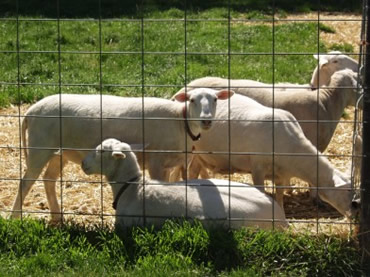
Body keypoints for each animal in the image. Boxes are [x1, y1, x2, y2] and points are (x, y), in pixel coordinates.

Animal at [11, 89, 233, 222]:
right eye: (193, 100)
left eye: (215, 100)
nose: (206, 120)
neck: (180, 122)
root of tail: (30, 111)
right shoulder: (156, 161)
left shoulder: (174, 163)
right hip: (40, 147)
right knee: (25, 183)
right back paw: (15, 217)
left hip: (60, 153)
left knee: (49, 179)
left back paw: (57, 216)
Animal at [174, 91, 362, 216]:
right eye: (346, 191)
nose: (356, 209)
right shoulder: (258, 167)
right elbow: (261, 192)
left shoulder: (280, 174)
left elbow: (279, 197)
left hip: (201, 154)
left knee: (194, 170)